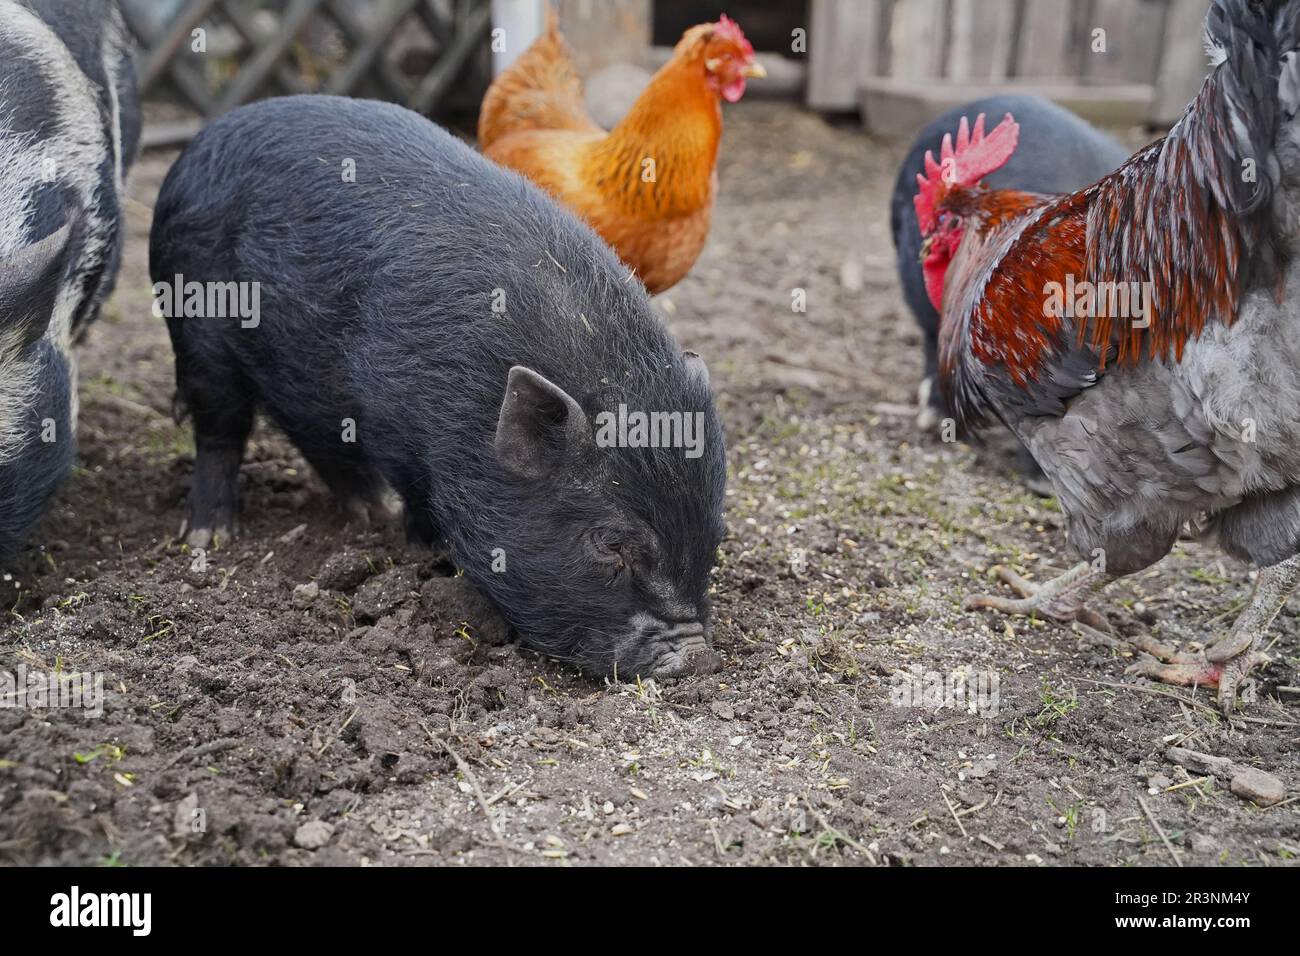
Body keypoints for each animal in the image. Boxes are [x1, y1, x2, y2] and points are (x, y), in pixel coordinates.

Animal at [149, 95, 733, 681]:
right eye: (611, 542)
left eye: (716, 532)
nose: (698, 657)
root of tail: (204, 139)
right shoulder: (389, 415)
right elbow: (415, 492)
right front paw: (426, 552)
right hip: (195, 326)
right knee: (220, 430)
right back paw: (211, 536)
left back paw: (371, 512)